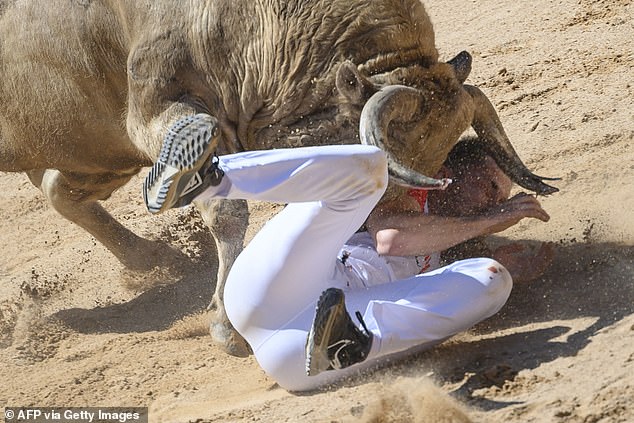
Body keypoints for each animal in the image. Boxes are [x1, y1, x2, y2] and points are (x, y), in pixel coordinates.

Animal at [0, 0, 552, 358]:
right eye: (384, 168)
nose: (388, 231)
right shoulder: (161, 110)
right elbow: (225, 209)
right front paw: (227, 328)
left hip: (92, 150)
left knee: (60, 189)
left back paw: (151, 258)